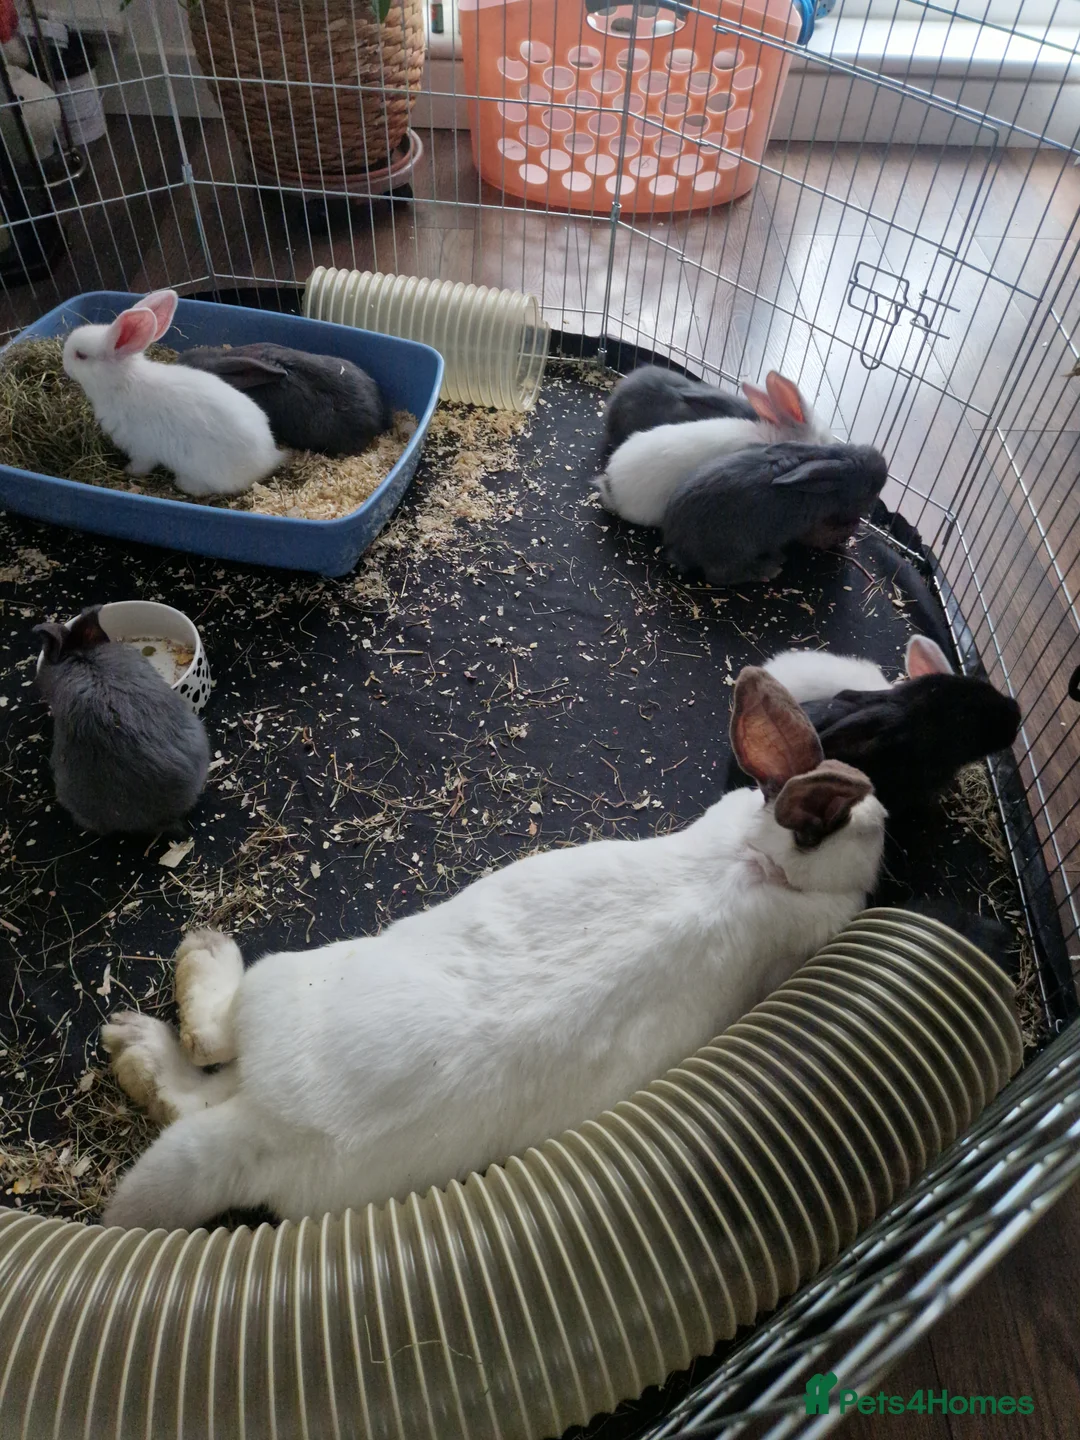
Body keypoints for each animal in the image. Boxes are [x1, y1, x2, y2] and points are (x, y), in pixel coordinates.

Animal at [62, 289, 285, 498]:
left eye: (81, 355)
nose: (64, 363)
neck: (121, 383)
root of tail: (269, 457)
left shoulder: (142, 449)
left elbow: (141, 465)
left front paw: (129, 471)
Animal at [100, 666, 885, 1231]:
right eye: (874, 828)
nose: (884, 823)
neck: (764, 862)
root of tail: (277, 1123)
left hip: (280, 1008)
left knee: (199, 1080)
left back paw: (137, 1042)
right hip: (282, 984)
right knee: (213, 1039)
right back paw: (198, 962)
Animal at [661, 441, 889, 586]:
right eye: (869, 488)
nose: (883, 466)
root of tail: (675, 544)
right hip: (733, 548)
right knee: (718, 576)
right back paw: (767, 569)